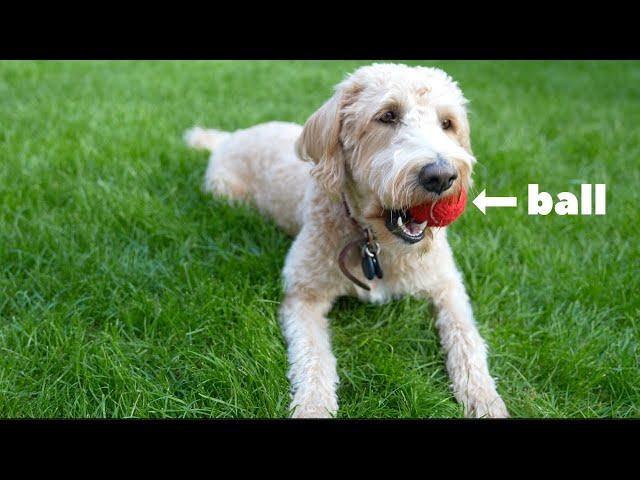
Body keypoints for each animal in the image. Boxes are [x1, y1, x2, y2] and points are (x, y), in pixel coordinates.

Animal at [185, 62, 510, 416]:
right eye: (387, 115)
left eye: (447, 123)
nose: (441, 176)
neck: (376, 242)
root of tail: (232, 136)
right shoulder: (303, 295)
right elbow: (313, 357)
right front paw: (313, 406)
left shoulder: (447, 286)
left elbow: (467, 339)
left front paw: (484, 398)